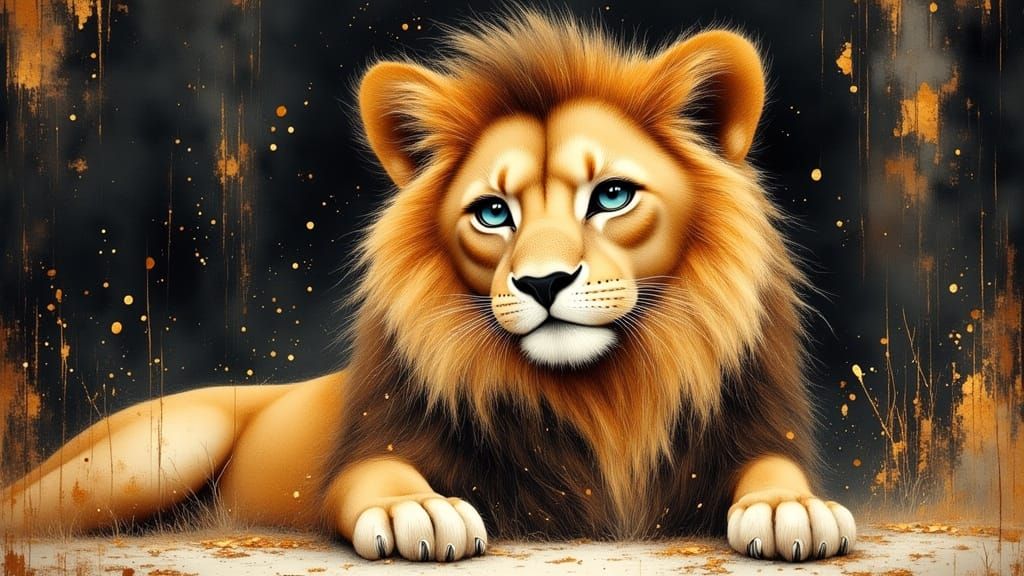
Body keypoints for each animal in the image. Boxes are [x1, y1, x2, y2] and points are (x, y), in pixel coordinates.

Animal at [1, 10, 856, 563]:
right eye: (493, 211)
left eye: (612, 196)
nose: (544, 280)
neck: (602, 394)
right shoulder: (370, 447)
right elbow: (378, 480)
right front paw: (420, 510)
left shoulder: (755, 432)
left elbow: (775, 474)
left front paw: (793, 510)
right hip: (149, 453)